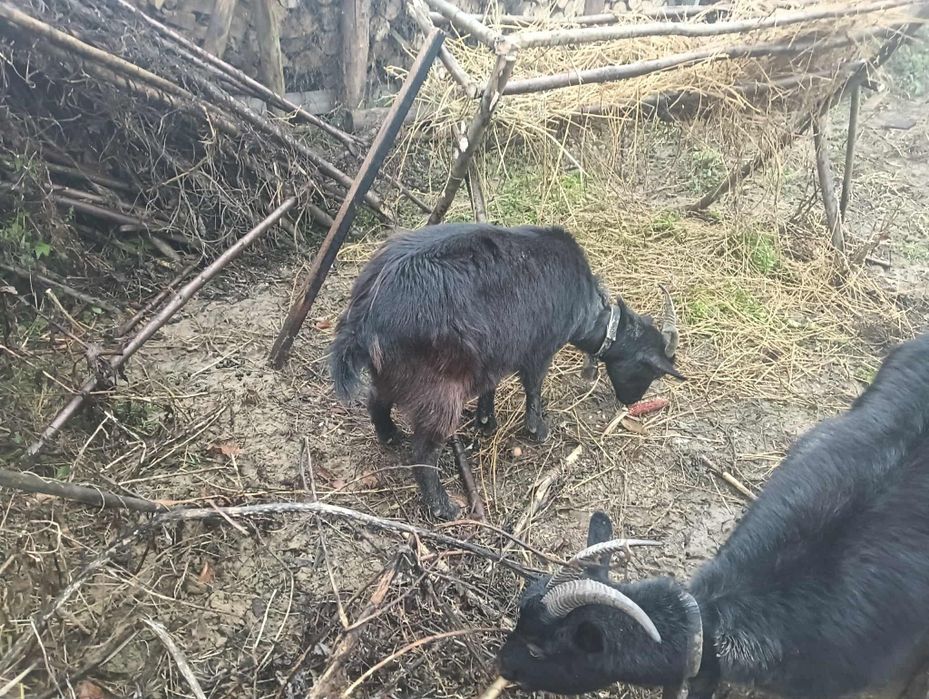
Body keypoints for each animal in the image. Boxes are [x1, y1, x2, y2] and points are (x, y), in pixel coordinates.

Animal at [329, 222, 684, 520]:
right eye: (652, 370)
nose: (630, 401)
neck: (588, 309)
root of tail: (366, 312)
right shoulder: (538, 350)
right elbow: (533, 386)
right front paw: (537, 429)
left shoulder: (495, 354)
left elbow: (491, 385)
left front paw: (487, 421)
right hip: (440, 387)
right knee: (424, 450)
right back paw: (444, 506)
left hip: (392, 372)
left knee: (376, 401)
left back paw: (390, 436)